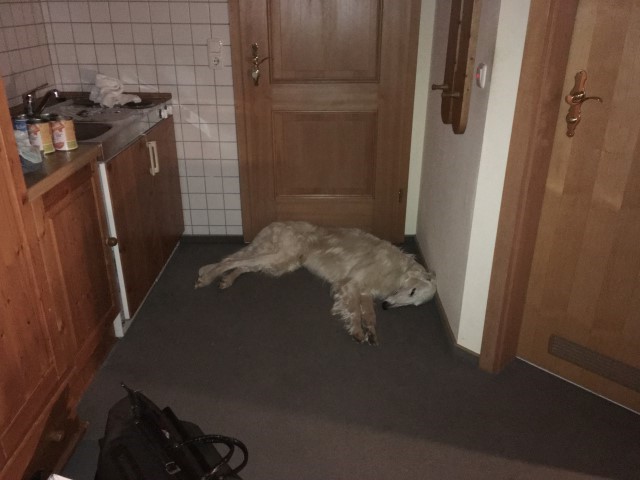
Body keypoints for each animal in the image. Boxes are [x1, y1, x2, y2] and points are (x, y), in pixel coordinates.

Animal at [195, 221, 436, 345]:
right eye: (412, 291)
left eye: (413, 303)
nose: (386, 305)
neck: (396, 270)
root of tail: (272, 224)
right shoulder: (350, 284)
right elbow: (355, 312)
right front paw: (357, 331)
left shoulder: (365, 292)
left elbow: (369, 314)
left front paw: (371, 331)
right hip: (279, 256)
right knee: (231, 261)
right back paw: (207, 277)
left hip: (281, 263)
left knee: (241, 265)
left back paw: (226, 280)